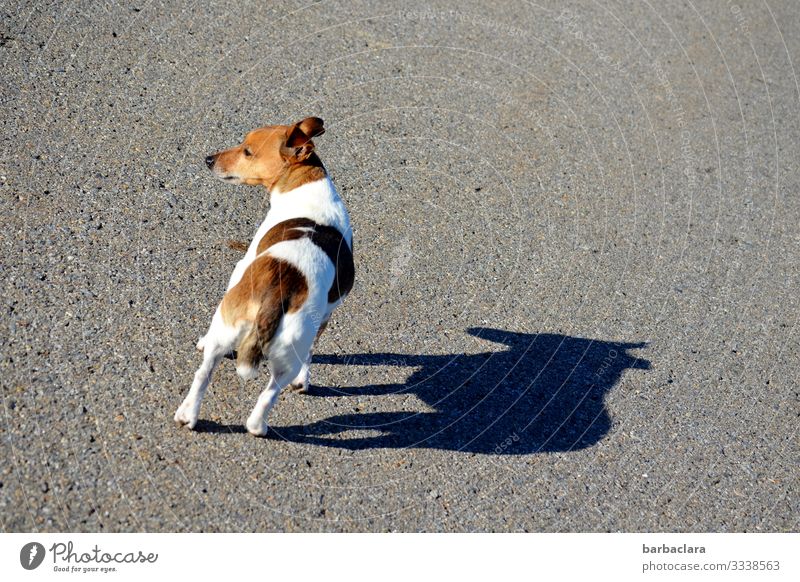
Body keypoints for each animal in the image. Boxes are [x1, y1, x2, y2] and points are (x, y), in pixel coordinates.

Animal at [175, 117, 354, 438]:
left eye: (247, 151)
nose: (208, 159)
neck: (306, 183)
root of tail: (277, 292)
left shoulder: (241, 265)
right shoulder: (326, 315)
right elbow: (312, 353)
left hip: (228, 327)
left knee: (204, 374)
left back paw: (190, 416)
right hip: (287, 354)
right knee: (269, 392)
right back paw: (256, 425)